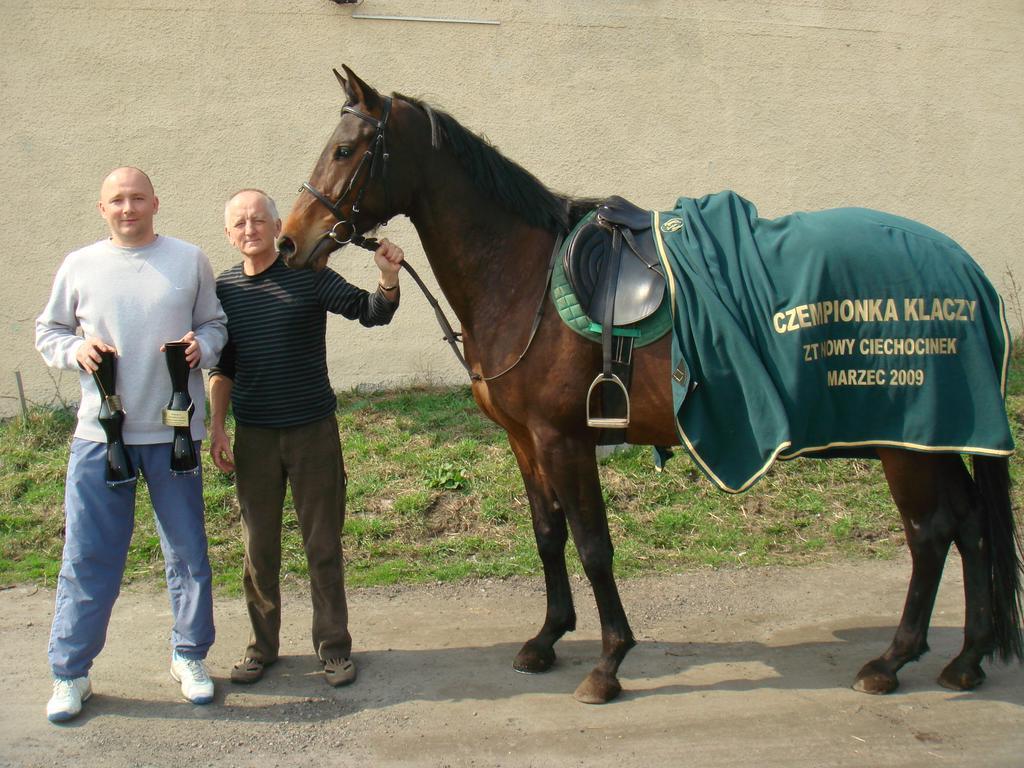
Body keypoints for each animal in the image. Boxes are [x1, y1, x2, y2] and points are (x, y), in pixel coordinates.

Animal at [276, 66, 1019, 704]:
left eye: (345, 149)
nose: (288, 242)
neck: (522, 278)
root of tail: (963, 267)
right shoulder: (524, 442)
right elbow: (548, 534)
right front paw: (547, 638)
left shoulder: (566, 440)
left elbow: (593, 545)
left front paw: (609, 662)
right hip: (936, 442)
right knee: (972, 527)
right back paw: (967, 658)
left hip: (905, 444)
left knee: (931, 534)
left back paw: (892, 660)